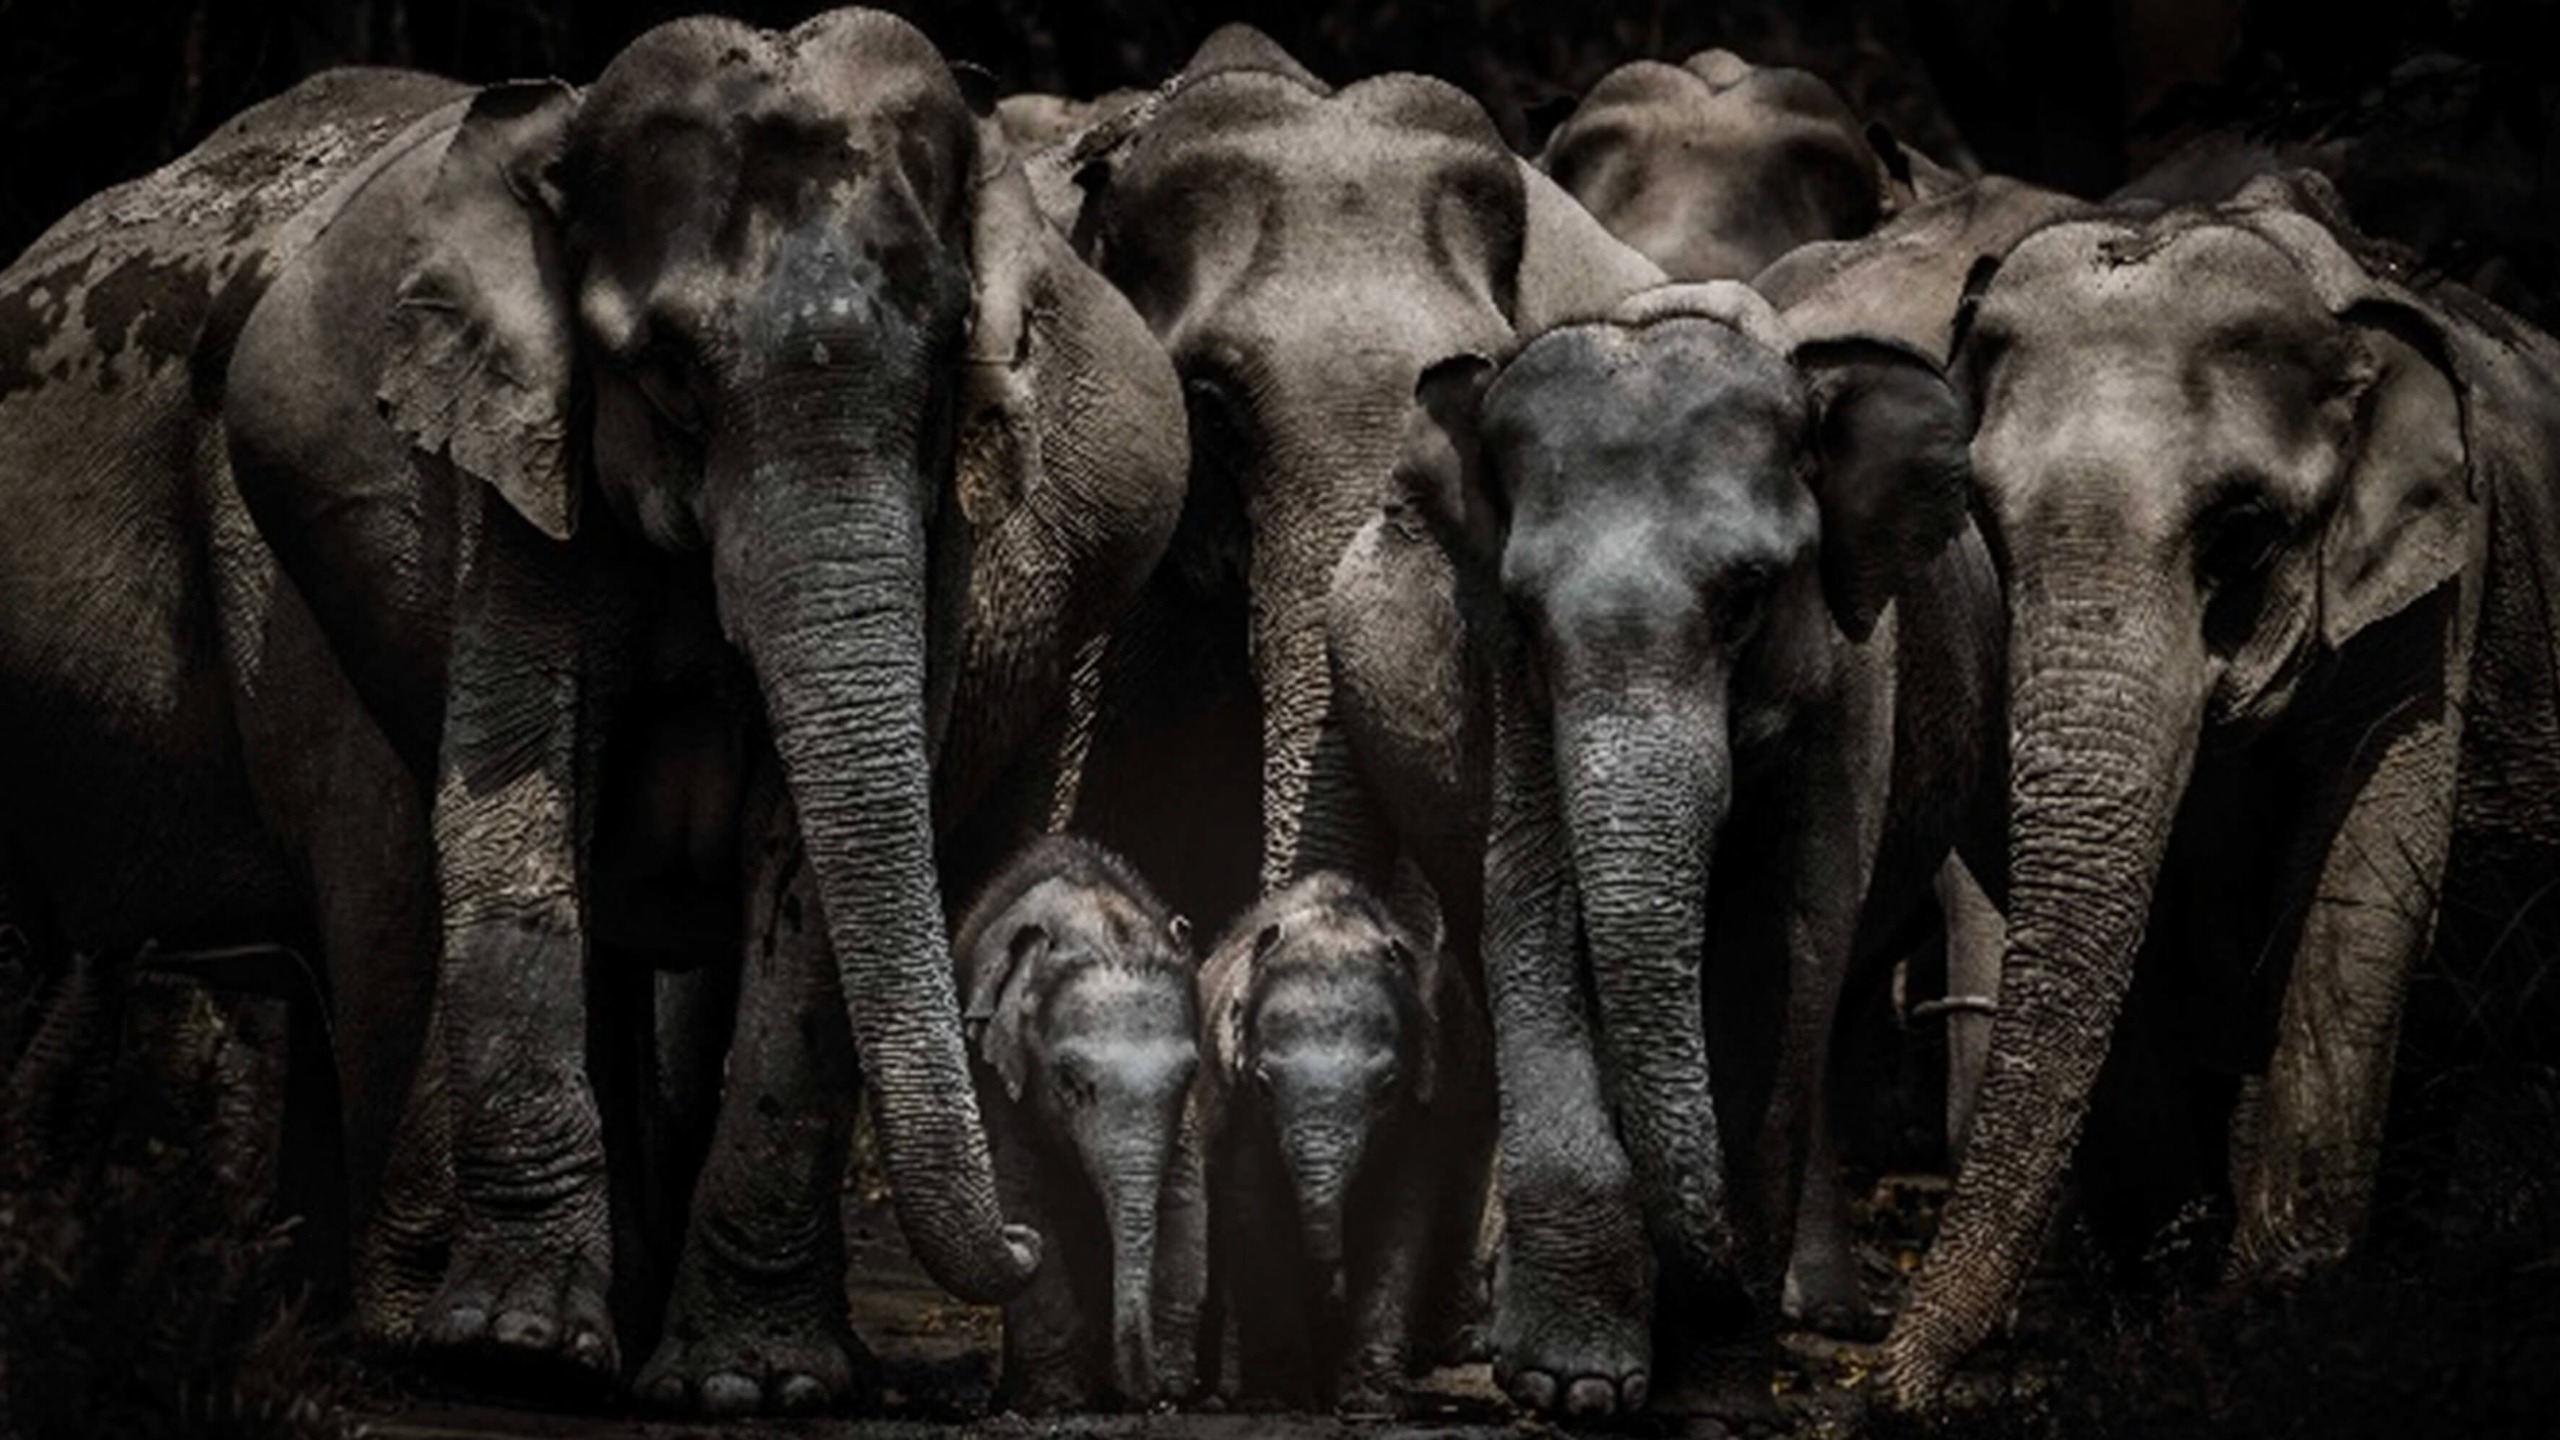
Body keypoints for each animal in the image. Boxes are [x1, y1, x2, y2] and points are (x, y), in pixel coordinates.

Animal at [953, 834, 1205, 1412]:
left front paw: (1174, 1389)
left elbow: (1185, 1198)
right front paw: (1058, 1398)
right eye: (1070, 1084)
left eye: (1189, 1075)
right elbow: (1023, 1198)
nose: (1142, 1395)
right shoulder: (998, 1079)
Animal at [1195, 871, 1493, 1413]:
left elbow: (1400, 1214)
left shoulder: (1426, 1106)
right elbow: (1252, 1204)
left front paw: (1369, 1405)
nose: (1325, 1278)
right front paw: (1281, 1401)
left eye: (1387, 1089)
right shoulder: (1230, 1100)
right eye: (1264, 1085)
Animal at [1325, 278, 2003, 1414]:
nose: (1718, 1282)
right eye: (1522, 612)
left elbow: (1787, 953)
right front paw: (1570, 1386)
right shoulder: (1512, 693)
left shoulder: (1852, 682)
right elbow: (1530, 920)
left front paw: (1714, 1404)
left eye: (1748, 595)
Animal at [1878, 171, 2560, 1407]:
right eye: (1984, 521)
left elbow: (2356, 903)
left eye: (2240, 537)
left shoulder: (2436, 590)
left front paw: (2270, 1318)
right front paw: (2171, 1313)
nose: (1900, 1398)